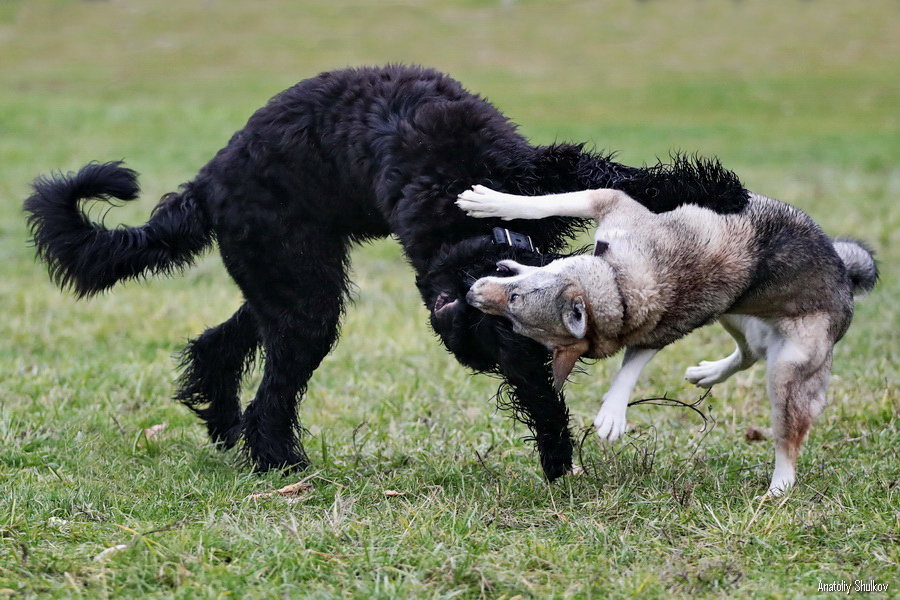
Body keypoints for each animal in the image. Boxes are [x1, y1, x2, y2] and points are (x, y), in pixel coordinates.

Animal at [26, 65, 744, 480]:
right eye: (511, 362)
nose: (553, 458)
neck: (463, 225)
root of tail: (205, 186)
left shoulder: (538, 168)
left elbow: (613, 176)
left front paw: (716, 187)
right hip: (304, 298)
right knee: (272, 397)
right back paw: (279, 464)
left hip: (285, 282)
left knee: (219, 342)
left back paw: (222, 416)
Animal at [454, 184, 876, 496]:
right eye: (513, 326)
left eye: (514, 300)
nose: (471, 294)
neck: (620, 290)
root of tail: (845, 276)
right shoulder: (662, 324)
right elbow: (635, 358)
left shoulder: (614, 205)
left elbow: (545, 203)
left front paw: (490, 201)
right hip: (731, 314)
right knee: (749, 354)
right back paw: (709, 373)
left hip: (788, 372)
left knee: (788, 438)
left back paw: (779, 487)